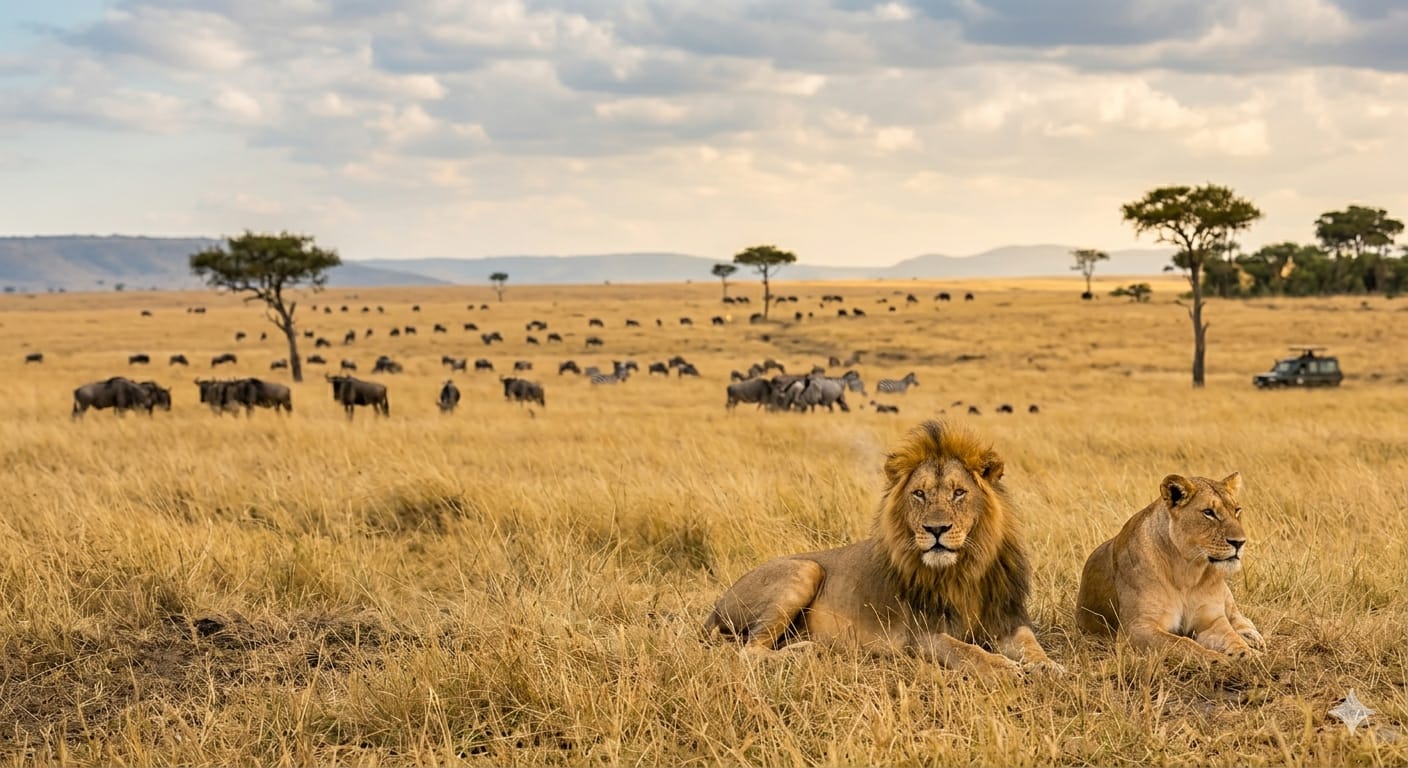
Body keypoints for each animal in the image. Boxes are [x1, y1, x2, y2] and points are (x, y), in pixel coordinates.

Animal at [703, 420, 1061, 675]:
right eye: (919, 494)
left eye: (959, 492)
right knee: (748, 651)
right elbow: (968, 651)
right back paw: (805, 651)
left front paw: (1047, 666)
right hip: (806, 569)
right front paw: (1005, 669)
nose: (936, 529)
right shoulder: (922, 635)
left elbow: (1030, 643)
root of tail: (716, 606)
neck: (965, 569)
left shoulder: (1007, 620)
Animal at [1075, 472, 1264, 660]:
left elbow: (1231, 636)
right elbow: (1184, 644)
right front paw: (1218, 659)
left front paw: (1248, 653)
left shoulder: (1211, 622)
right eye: (1208, 513)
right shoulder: (1136, 628)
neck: (1188, 571)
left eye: (1237, 510)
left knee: (1238, 616)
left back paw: (1252, 638)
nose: (1240, 542)